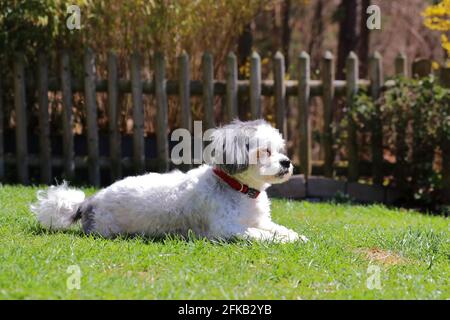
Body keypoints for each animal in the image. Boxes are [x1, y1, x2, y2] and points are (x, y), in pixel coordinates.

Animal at [30, 119, 306, 242]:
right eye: (265, 151)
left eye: (280, 150)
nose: (286, 162)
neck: (238, 189)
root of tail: (90, 201)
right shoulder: (226, 229)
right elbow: (259, 234)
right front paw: (283, 240)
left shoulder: (260, 220)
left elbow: (278, 229)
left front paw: (296, 237)